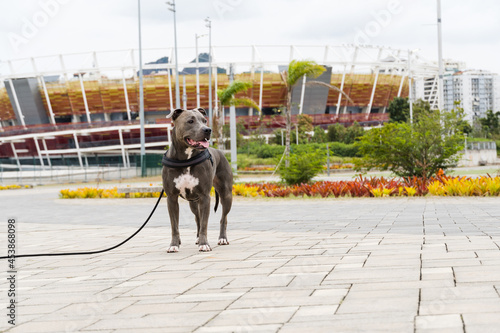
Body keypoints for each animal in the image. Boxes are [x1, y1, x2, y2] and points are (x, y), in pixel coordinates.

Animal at [161, 107, 233, 250]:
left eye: (204, 120)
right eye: (190, 121)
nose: (208, 130)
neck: (185, 159)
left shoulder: (205, 196)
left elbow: (205, 224)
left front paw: (204, 244)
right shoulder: (171, 198)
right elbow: (174, 225)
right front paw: (174, 244)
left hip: (226, 194)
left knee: (223, 218)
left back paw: (222, 238)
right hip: (193, 202)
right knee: (197, 218)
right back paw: (198, 238)